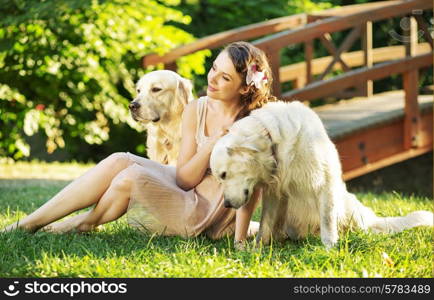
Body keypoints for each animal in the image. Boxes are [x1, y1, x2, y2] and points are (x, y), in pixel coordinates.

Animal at [209, 101, 430, 248]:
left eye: (224, 174)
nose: (227, 204)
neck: (274, 143)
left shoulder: (325, 182)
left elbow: (327, 219)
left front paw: (329, 247)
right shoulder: (274, 193)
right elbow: (266, 223)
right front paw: (256, 249)